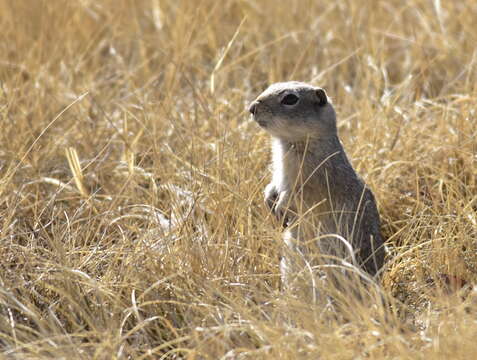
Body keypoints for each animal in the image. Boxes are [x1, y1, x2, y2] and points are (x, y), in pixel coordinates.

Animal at [247, 81, 384, 284]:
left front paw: (280, 208)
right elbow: (272, 186)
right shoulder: (279, 176)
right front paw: (269, 202)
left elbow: (294, 194)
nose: (251, 108)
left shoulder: (311, 182)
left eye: (290, 99)